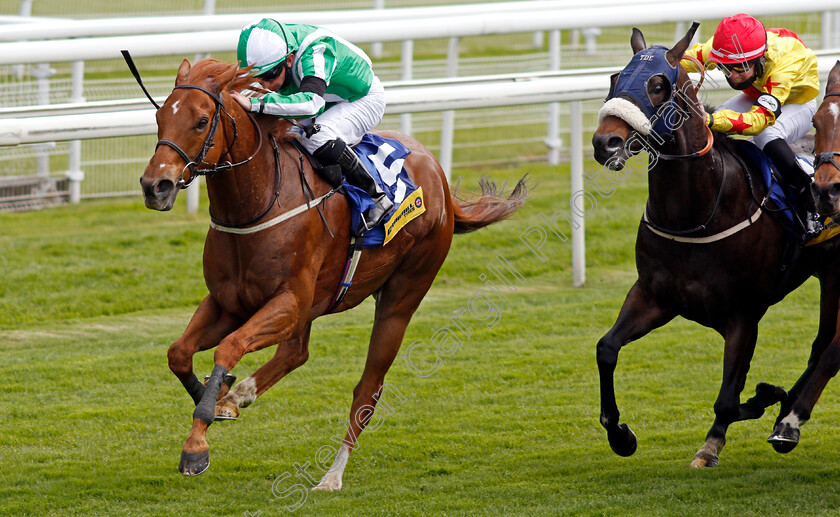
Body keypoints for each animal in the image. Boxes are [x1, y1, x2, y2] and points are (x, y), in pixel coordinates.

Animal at [141, 58, 528, 486]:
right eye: (159, 117)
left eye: (201, 120)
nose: (155, 186)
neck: (260, 203)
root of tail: (437, 174)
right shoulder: (230, 303)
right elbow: (178, 352)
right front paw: (213, 395)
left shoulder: (289, 302)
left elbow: (229, 346)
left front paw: (197, 443)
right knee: (296, 352)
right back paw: (238, 394)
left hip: (402, 295)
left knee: (367, 389)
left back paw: (332, 474)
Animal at [592, 25, 840, 468]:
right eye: (614, 79)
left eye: (658, 85)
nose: (605, 143)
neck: (695, 213)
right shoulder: (654, 296)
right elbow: (606, 349)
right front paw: (620, 435)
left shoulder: (743, 315)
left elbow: (727, 399)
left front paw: (747, 412)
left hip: (833, 273)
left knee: (822, 346)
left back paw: (787, 414)